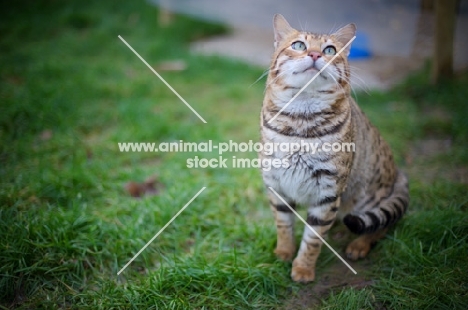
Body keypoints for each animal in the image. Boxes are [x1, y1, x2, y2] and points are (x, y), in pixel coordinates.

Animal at [260, 14, 410, 282]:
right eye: (299, 45)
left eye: (330, 50)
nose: (315, 54)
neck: (300, 121)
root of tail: (399, 174)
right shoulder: (276, 185)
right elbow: (284, 226)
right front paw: (283, 253)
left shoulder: (327, 192)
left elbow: (312, 238)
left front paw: (303, 268)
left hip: (367, 199)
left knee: (382, 225)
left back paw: (359, 244)